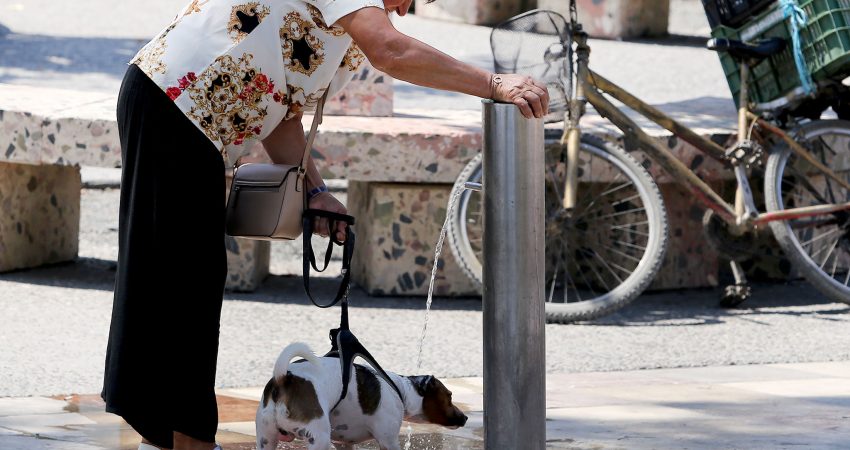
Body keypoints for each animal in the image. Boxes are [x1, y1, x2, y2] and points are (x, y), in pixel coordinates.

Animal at [255, 342, 468, 450]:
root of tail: (284, 378)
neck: (400, 390)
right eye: (449, 396)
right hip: (319, 438)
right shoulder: (388, 441)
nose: (465, 417)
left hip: (266, 439)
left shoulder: (343, 444)